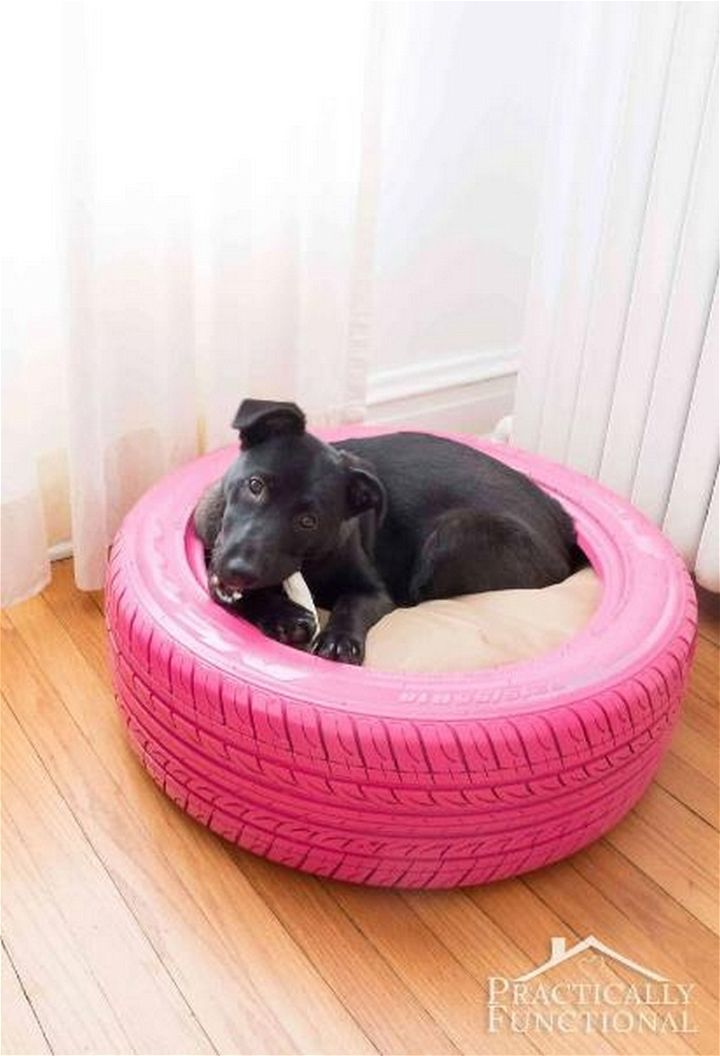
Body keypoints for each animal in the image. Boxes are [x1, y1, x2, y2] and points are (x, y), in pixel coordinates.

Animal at [192, 399, 582, 663]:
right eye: (255, 485)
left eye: (308, 521)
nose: (239, 570)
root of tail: (564, 525)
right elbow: (234, 594)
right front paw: (284, 615)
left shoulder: (374, 592)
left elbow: (351, 604)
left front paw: (339, 640)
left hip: (454, 534)